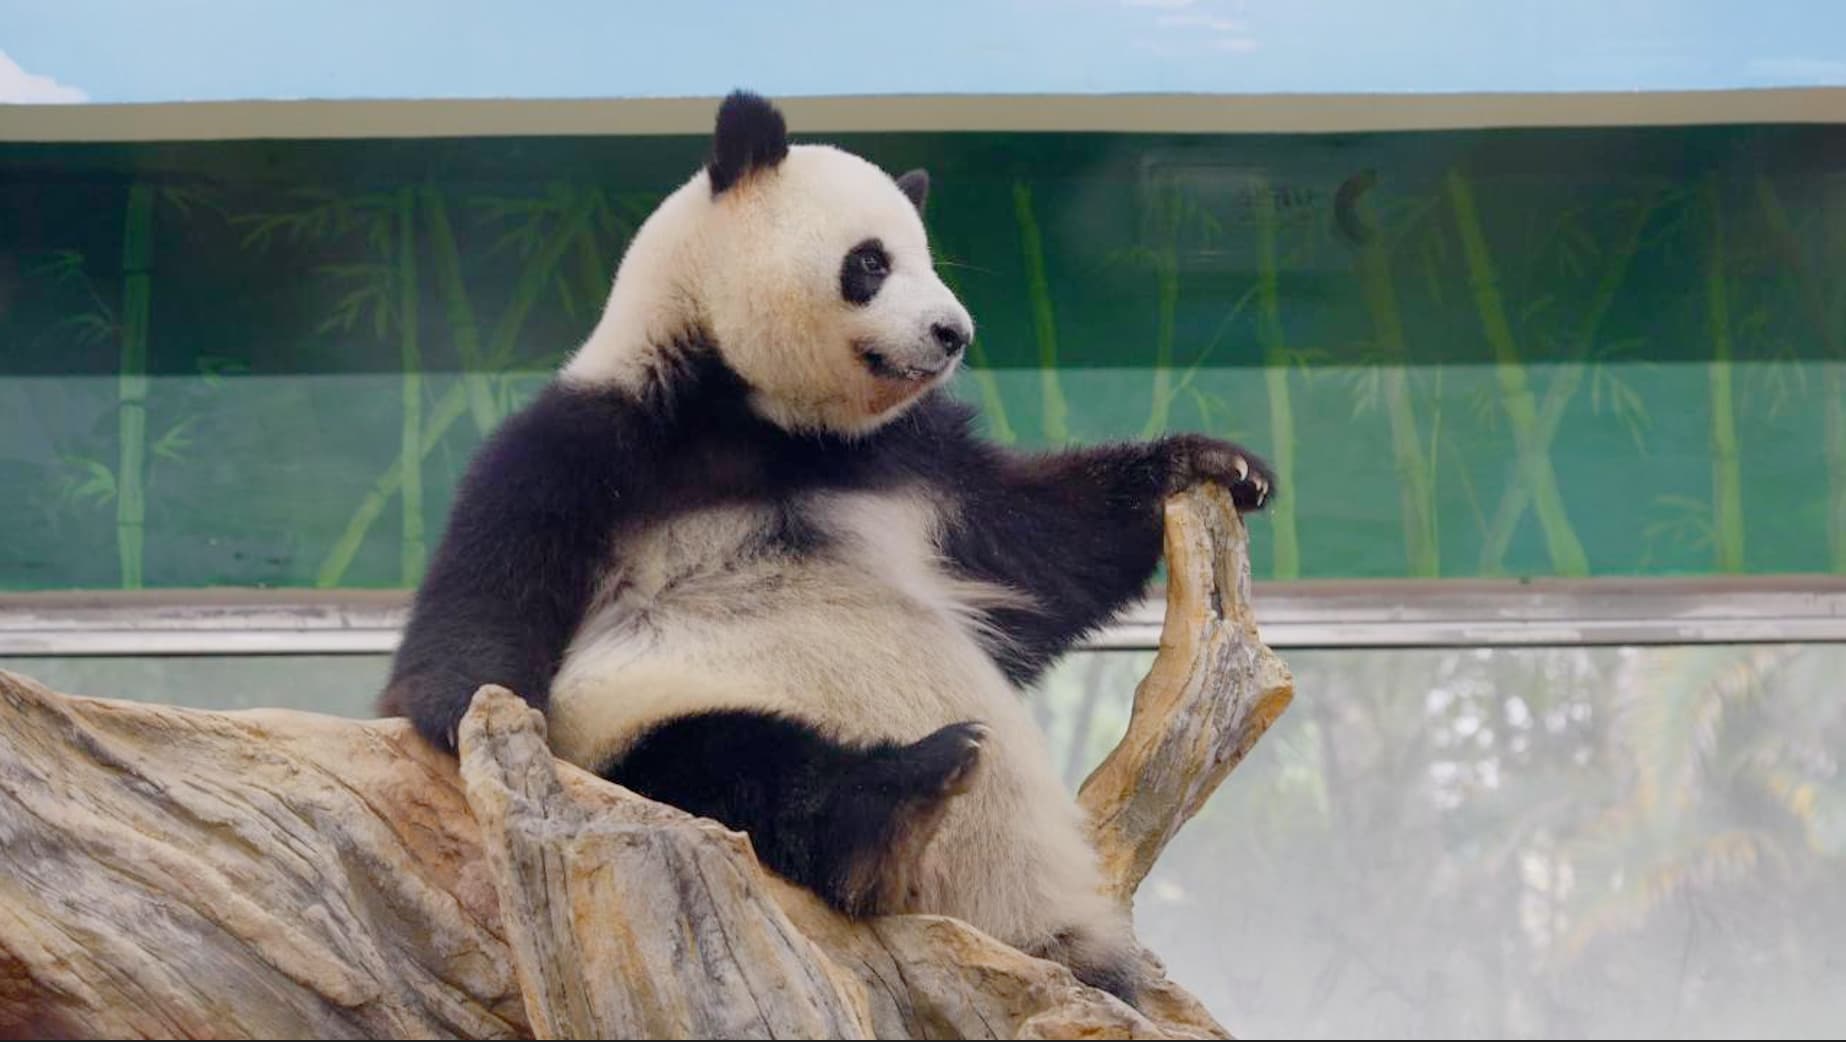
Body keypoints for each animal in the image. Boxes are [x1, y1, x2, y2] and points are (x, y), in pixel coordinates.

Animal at [380, 90, 1274, 1006]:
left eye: (929, 261)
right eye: (871, 262)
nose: (953, 332)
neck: (761, 420)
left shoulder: (912, 467)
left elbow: (1039, 542)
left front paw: (1214, 464)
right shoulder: (585, 448)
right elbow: (483, 597)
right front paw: (471, 717)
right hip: (640, 729)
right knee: (727, 765)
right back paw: (898, 800)